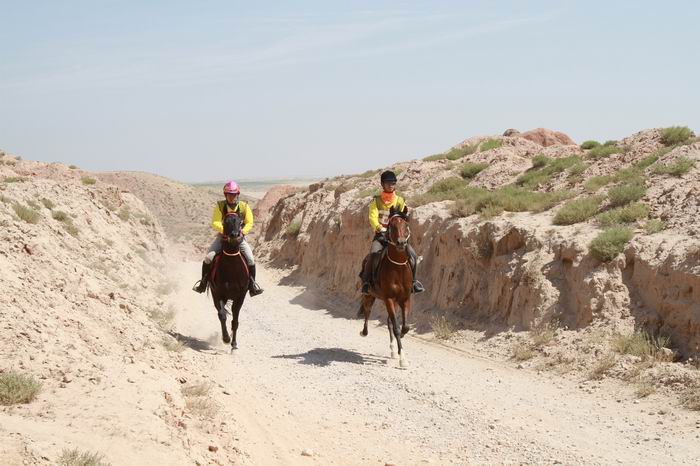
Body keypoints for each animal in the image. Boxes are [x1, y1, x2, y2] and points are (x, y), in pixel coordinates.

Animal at [209, 213, 250, 352]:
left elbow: (235, 321)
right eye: (225, 222)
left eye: (240, 222)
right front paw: (226, 338)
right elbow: (222, 315)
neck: (232, 268)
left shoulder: (240, 297)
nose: (235, 235)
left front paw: (234, 344)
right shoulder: (218, 294)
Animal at [358, 208, 412, 368]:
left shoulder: (405, 299)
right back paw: (364, 332)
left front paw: (400, 346)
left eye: (406, 225)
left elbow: (404, 327)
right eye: (391, 226)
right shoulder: (389, 298)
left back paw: (393, 350)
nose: (401, 243)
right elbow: (396, 327)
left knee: (388, 321)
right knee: (367, 311)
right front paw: (403, 359)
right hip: (369, 295)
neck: (398, 268)